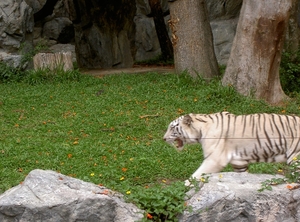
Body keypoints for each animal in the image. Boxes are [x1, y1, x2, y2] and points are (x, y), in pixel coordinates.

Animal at [163, 111, 300, 186]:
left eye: (172, 127)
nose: (163, 139)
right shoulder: (239, 162)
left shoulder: (214, 160)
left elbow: (196, 175)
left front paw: (182, 187)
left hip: (295, 157)